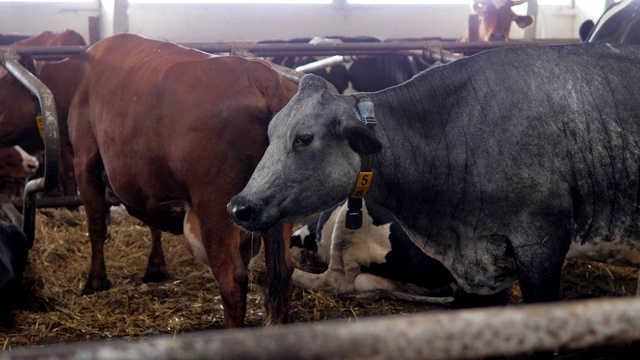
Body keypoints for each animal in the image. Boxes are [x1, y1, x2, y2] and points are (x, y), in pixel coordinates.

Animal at [66, 34, 296, 330]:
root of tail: (261, 73)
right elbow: (151, 224)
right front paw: (155, 267)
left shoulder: (85, 160)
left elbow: (96, 226)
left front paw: (96, 281)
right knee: (283, 271)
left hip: (214, 208)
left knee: (233, 279)